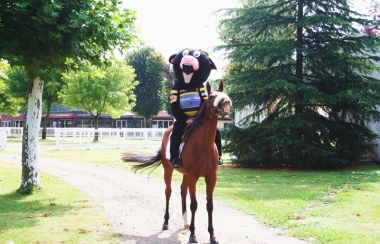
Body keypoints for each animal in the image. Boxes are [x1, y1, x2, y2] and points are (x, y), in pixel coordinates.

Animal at [124, 82, 232, 244]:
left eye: (224, 94)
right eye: (212, 97)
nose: (226, 103)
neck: (204, 144)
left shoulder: (211, 177)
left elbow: (209, 205)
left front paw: (212, 235)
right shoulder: (193, 176)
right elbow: (194, 204)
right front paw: (193, 235)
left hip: (186, 174)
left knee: (182, 191)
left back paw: (186, 222)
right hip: (168, 170)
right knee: (168, 192)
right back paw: (166, 223)